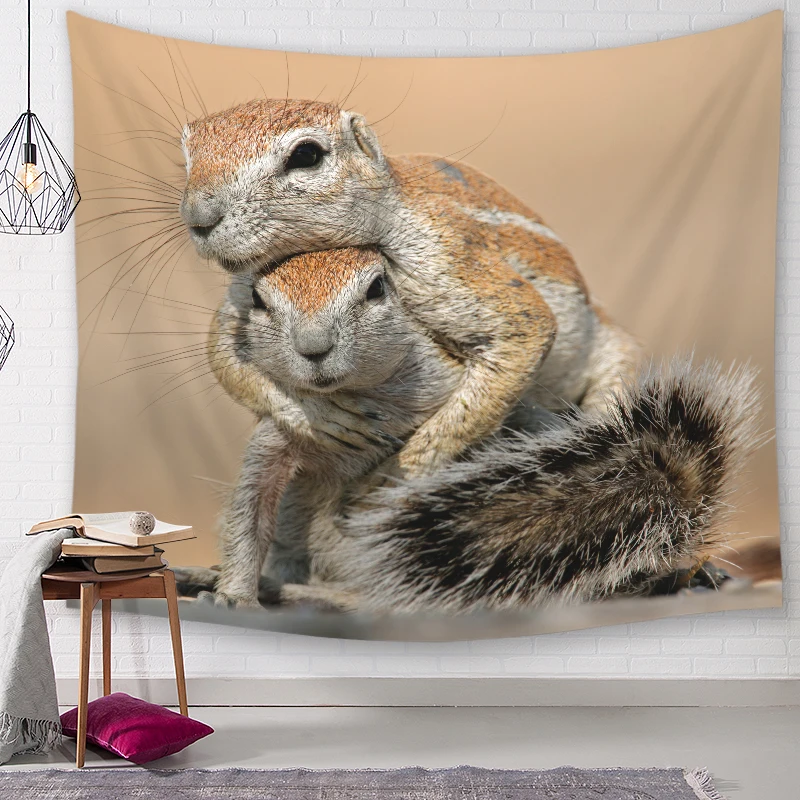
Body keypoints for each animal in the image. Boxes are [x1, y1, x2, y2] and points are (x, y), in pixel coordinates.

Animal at [174, 245, 761, 612]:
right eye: (258, 299)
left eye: (377, 288)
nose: (314, 348)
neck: (359, 395)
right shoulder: (278, 437)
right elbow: (250, 512)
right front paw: (234, 593)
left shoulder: (460, 387)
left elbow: (506, 419)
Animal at [179, 99, 642, 479]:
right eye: (187, 155)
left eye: (306, 155)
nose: (197, 215)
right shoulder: (243, 287)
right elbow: (223, 353)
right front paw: (321, 414)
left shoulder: (444, 250)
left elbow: (524, 327)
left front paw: (400, 474)